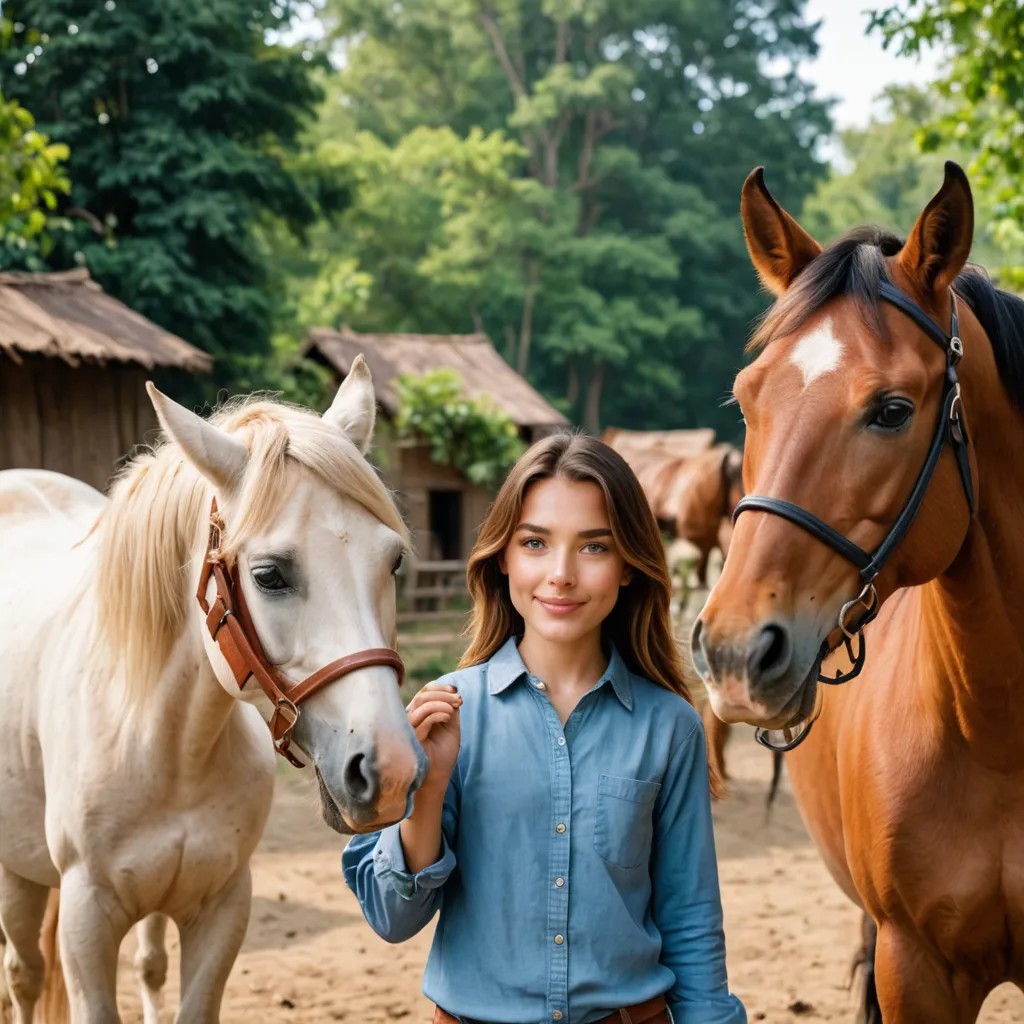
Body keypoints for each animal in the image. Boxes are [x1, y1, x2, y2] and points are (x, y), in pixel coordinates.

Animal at [0, 357, 427, 1022]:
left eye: (393, 562)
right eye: (269, 575)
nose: (390, 770)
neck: (168, 744)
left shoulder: (222, 907)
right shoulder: (86, 922)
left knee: (147, 965)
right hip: (18, 876)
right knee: (23, 975)